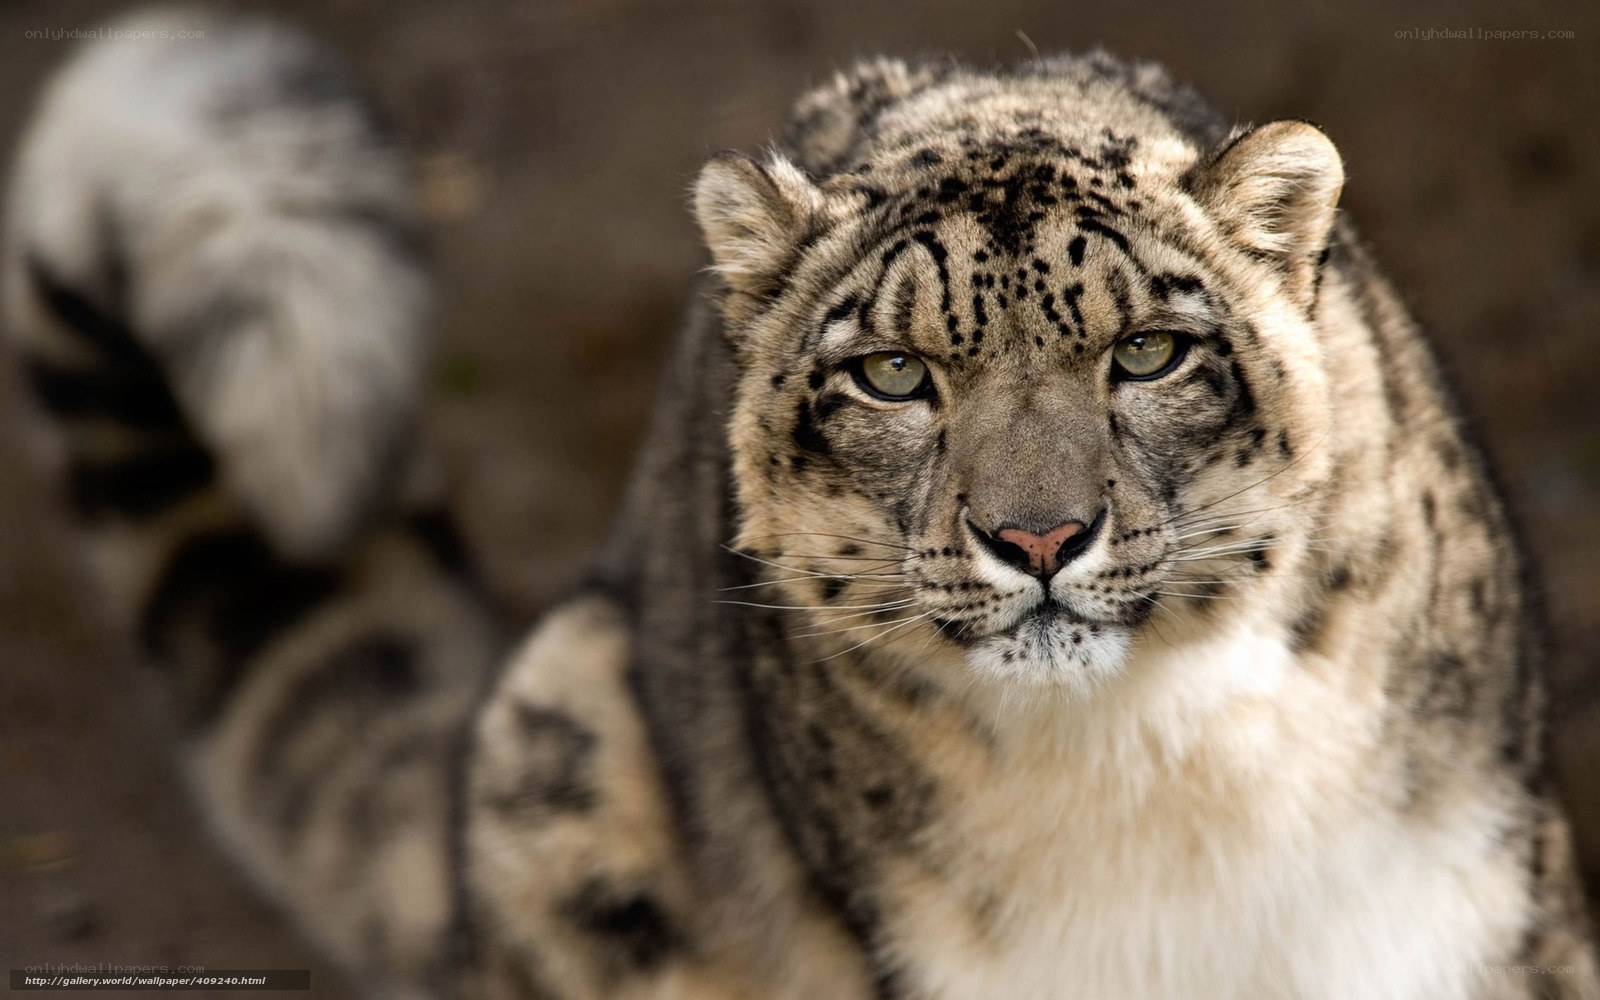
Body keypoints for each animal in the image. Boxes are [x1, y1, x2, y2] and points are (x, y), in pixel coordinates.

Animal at [5, 8, 1595, 999]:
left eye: (1148, 351)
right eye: (892, 372)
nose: (1035, 538)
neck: (1166, 774)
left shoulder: (1482, 907)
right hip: (556, 748)